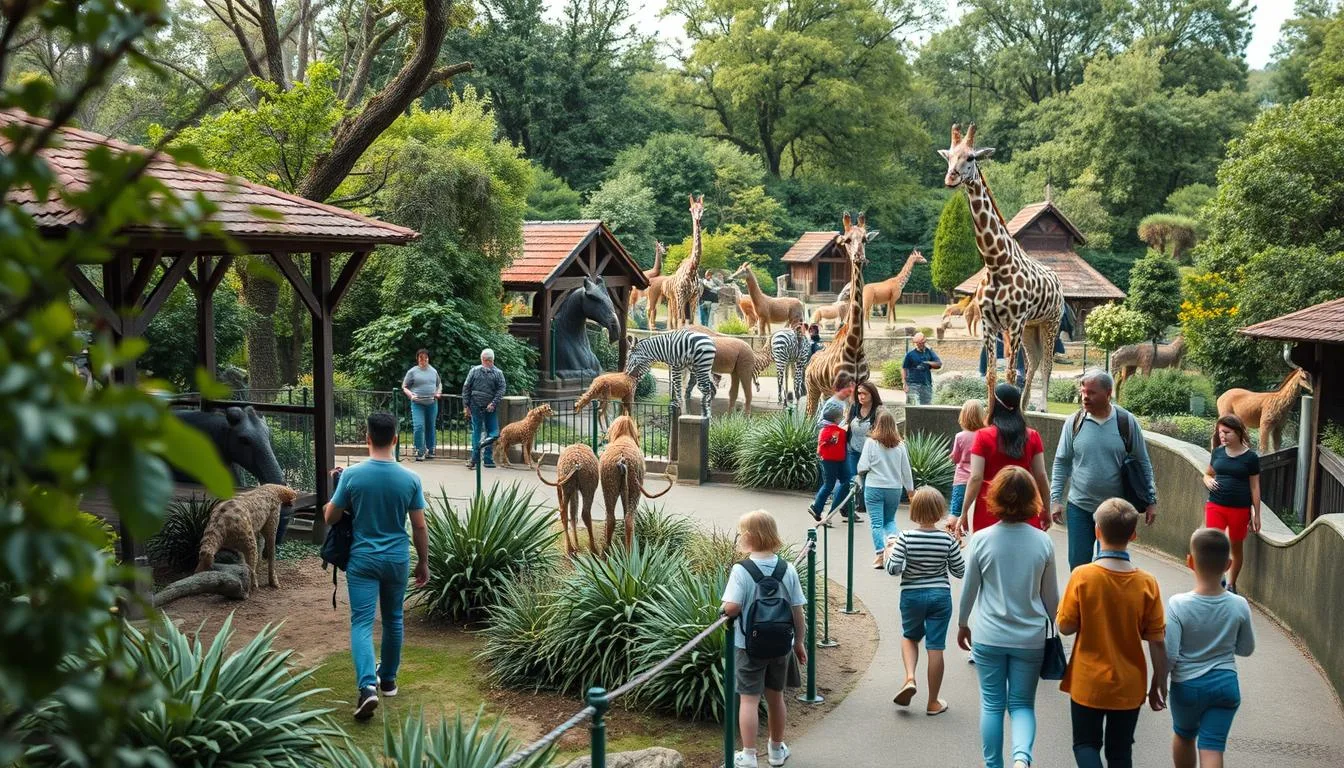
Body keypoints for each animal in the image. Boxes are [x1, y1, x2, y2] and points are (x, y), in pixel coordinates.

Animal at [669, 193, 709, 329]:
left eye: (702, 209)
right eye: (691, 209)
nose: (698, 219)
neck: (692, 268)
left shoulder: (694, 298)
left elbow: (691, 322)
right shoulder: (681, 296)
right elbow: (681, 322)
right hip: (675, 300)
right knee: (676, 321)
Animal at [940, 124, 1064, 414]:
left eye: (971, 157)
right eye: (948, 157)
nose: (951, 178)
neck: (996, 263)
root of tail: (1059, 282)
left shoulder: (1014, 322)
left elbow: (1008, 374)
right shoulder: (989, 323)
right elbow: (992, 375)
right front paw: (988, 417)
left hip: (1051, 322)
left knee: (1047, 364)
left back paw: (1042, 409)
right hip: (1033, 326)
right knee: (1033, 363)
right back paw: (1025, 406)